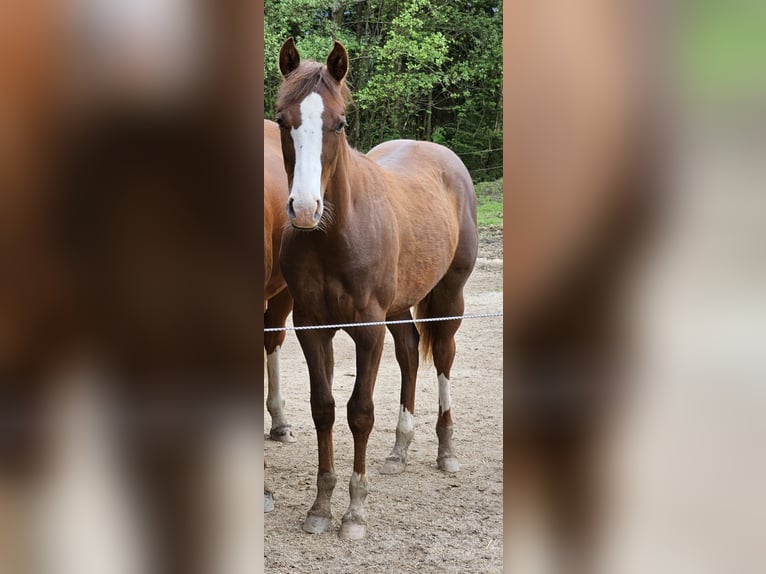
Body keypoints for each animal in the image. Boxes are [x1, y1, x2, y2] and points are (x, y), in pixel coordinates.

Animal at [276, 38, 480, 544]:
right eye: (282, 120)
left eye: (340, 123)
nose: (304, 209)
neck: (333, 234)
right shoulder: (312, 327)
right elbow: (324, 408)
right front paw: (320, 508)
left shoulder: (367, 330)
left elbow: (360, 412)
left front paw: (354, 514)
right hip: (399, 306)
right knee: (409, 352)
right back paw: (400, 449)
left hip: (449, 297)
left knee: (442, 356)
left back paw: (446, 451)